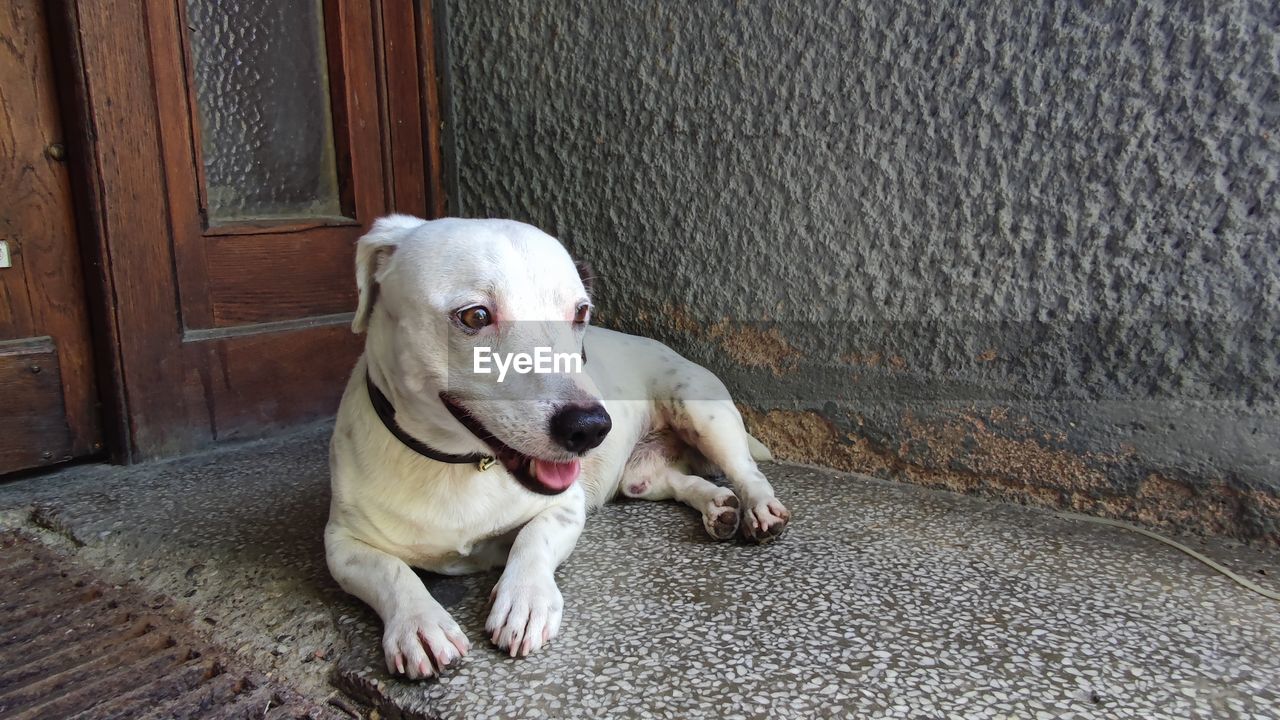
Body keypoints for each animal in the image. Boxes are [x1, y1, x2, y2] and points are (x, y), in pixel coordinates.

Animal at [325, 215, 783, 676]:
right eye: (475, 315)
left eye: (580, 312)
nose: (591, 427)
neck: (457, 466)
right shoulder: (341, 544)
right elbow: (390, 570)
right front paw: (418, 622)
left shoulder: (565, 506)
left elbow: (533, 539)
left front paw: (525, 598)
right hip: (640, 478)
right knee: (678, 481)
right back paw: (717, 506)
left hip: (702, 410)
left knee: (748, 472)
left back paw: (759, 508)